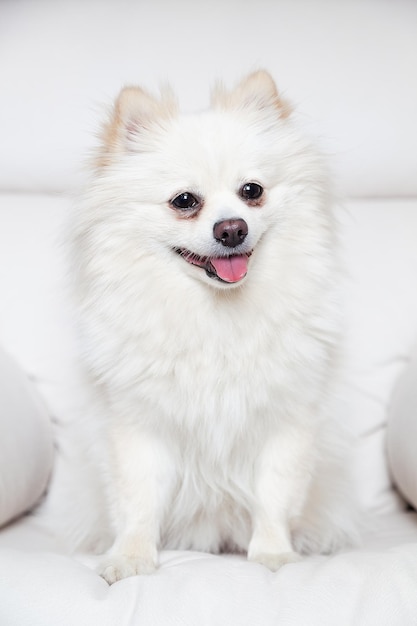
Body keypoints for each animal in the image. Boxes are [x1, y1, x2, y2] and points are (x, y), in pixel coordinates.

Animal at [70, 70, 354, 584]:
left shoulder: (285, 423)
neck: (215, 316)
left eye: (252, 191)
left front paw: (274, 554)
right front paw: (132, 557)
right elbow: (138, 500)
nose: (232, 229)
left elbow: (274, 496)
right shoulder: (139, 428)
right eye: (185, 201)